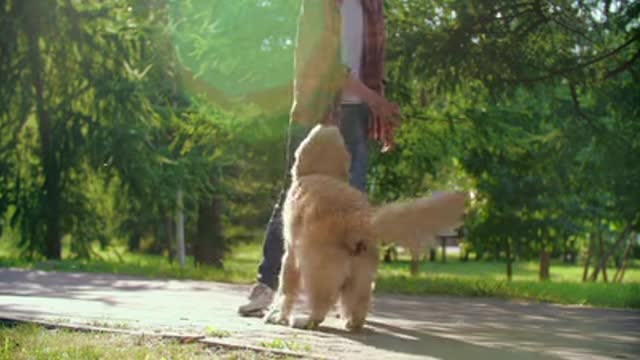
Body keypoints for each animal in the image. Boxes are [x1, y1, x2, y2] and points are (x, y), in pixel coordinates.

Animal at [264, 124, 464, 332]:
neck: (323, 173)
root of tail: (356, 218)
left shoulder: (290, 254)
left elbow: (285, 289)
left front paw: (277, 316)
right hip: (360, 275)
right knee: (358, 306)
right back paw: (351, 322)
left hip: (316, 269)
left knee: (321, 304)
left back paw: (305, 320)